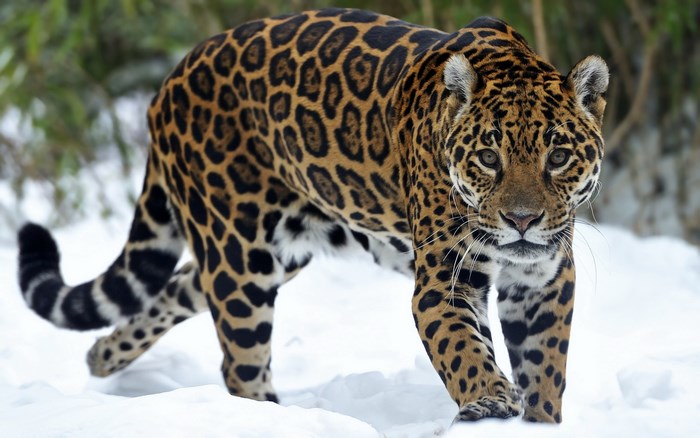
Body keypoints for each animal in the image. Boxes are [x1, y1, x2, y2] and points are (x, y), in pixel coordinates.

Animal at [17, 8, 608, 423]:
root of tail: (171, 78)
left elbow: (545, 371)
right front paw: (488, 399)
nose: (522, 221)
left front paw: (537, 417)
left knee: (175, 287)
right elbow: (462, 348)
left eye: (558, 157)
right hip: (240, 257)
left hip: (272, 253)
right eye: (488, 157)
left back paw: (102, 356)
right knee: (241, 363)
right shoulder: (446, 280)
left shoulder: (543, 280)